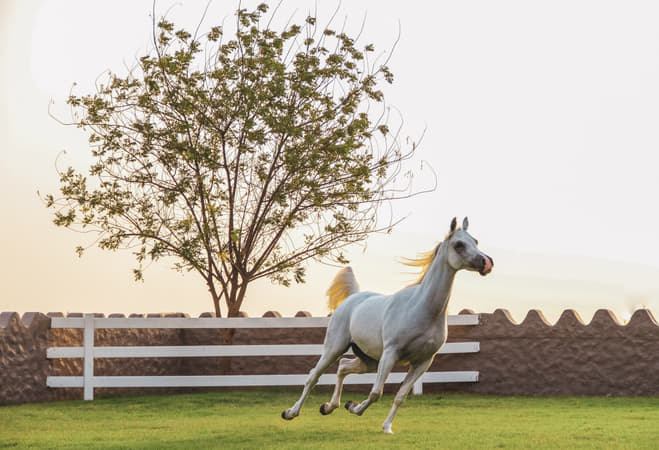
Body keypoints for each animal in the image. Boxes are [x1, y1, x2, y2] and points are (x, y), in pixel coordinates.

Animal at [281, 217, 494, 434]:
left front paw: (384, 426)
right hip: (335, 348)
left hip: (368, 360)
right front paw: (357, 409)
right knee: (313, 376)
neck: (421, 309)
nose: (487, 263)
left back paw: (329, 406)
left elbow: (400, 397)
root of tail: (352, 298)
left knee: (343, 367)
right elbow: (376, 392)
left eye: (475, 241)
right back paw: (291, 412)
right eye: (459, 244)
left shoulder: (423, 362)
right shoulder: (391, 354)